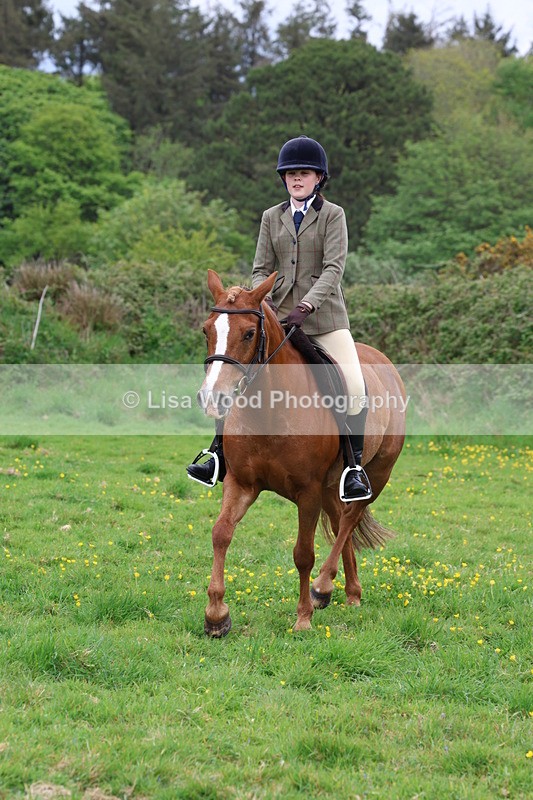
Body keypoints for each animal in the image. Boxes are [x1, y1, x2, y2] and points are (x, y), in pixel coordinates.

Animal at [196, 269, 406, 636]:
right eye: (207, 330)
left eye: (249, 333)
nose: (212, 398)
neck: (270, 410)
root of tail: (384, 362)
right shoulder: (241, 482)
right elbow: (221, 533)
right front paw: (216, 616)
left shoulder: (308, 492)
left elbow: (303, 553)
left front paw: (303, 617)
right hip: (332, 485)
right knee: (339, 521)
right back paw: (350, 592)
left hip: (378, 473)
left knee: (349, 519)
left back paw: (322, 586)